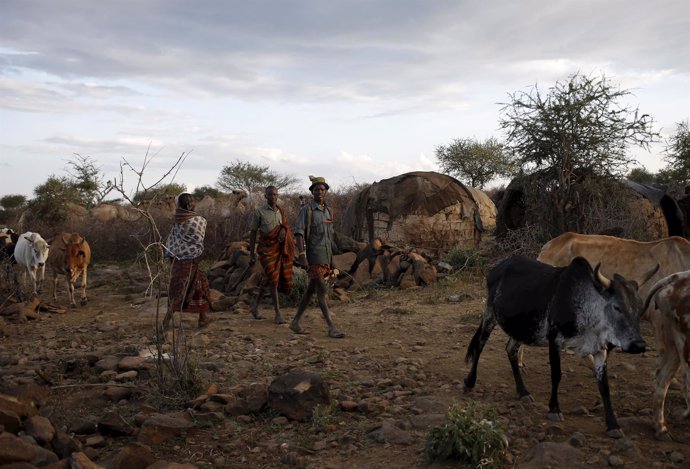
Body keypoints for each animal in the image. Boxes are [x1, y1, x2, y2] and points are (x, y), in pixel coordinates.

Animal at [462, 254, 656, 436]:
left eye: (640, 307)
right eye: (616, 307)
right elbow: (556, 375)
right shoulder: (554, 341)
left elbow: (604, 387)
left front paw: (613, 425)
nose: (638, 344)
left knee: (510, 350)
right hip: (490, 315)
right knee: (479, 345)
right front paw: (554, 408)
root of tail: (498, 268)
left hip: (522, 328)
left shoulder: (599, 350)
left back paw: (523, 392)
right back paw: (470, 382)